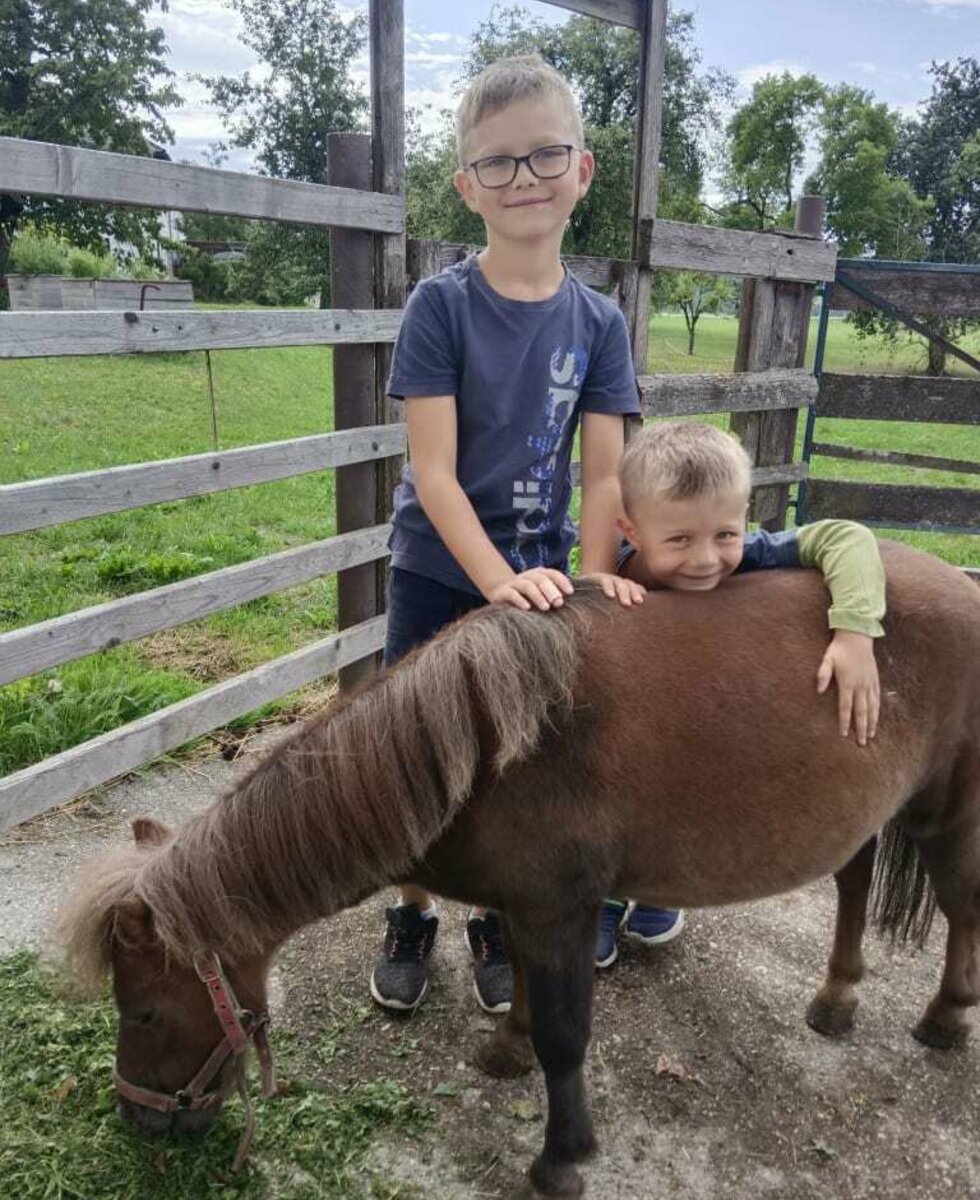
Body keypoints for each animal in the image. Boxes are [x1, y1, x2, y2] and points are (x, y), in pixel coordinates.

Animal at [55, 547, 978, 1200]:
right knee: (855, 888)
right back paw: (838, 996)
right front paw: (509, 1049)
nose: (137, 1121)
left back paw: (945, 1017)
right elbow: (530, 994)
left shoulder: (559, 908)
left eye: (141, 1011)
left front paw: (560, 1159)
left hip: (949, 815)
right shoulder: (531, 910)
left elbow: (569, 1037)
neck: (488, 741)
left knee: (962, 908)